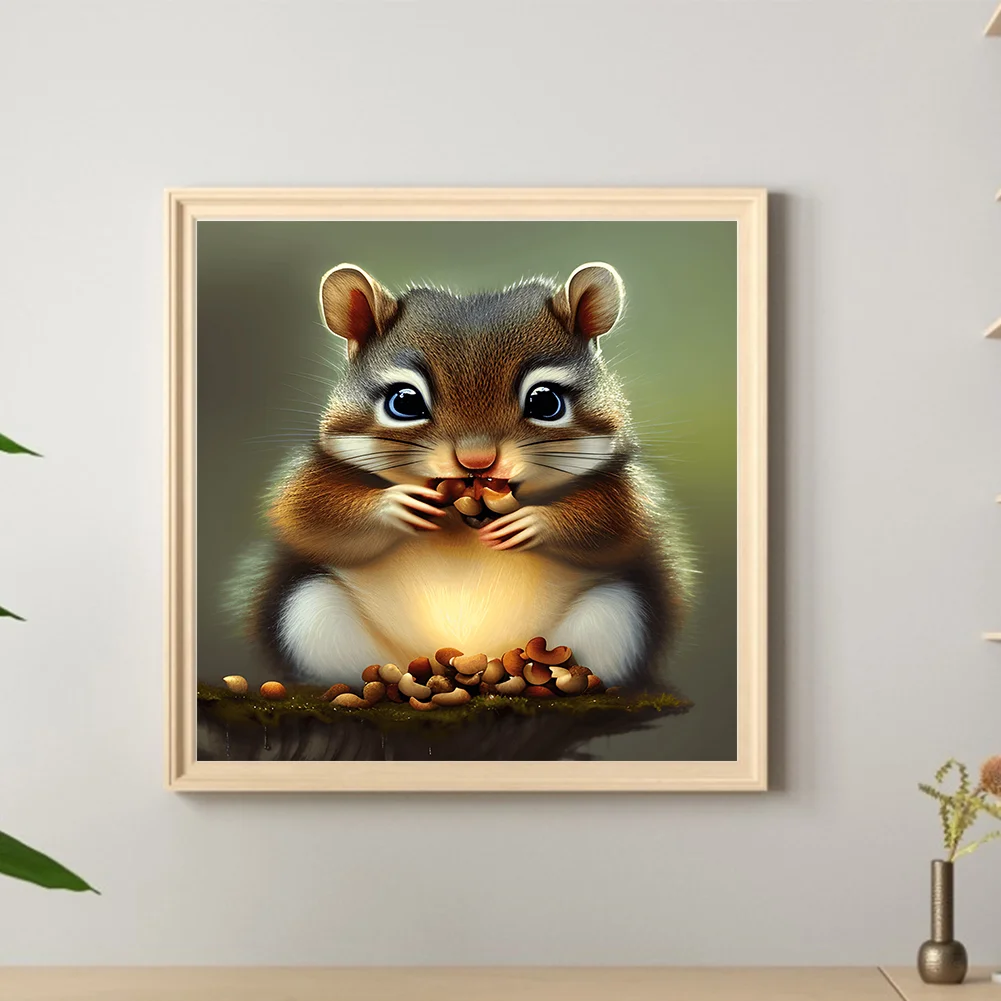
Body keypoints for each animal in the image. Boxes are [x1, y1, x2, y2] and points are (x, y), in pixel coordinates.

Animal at [239, 261, 690, 689]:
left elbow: (617, 526)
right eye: (404, 402)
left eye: (547, 402)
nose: (477, 461)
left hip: (616, 616)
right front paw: (396, 505)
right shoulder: (316, 475)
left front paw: (532, 522)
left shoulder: (623, 489)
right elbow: (308, 517)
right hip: (311, 614)